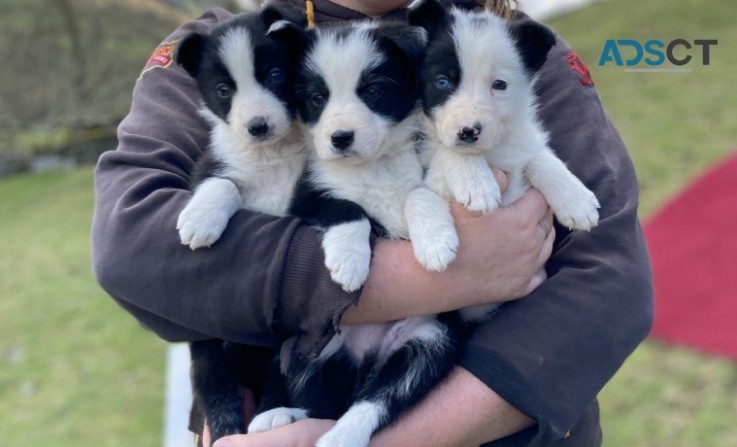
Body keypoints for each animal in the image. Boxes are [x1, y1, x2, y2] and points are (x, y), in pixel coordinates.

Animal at [176, 7, 308, 447]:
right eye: (222, 90)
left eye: (275, 74)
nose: (258, 126)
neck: (272, 153)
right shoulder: (212, 164)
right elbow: (222, 183)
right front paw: (200, 219)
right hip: (206, 347)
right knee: (215, 387)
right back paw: (227, 429)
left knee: (278, 372)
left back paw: (274, 415)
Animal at [250, 21, 462, 447]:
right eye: (317, 98)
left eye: (374, 91)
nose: (340, 138)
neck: (372, 165)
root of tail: (365, 355)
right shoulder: (307, 195)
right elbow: (348, 208)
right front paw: (348, 264)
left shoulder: (426, 170)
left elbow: (418, 194)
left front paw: (435, 242)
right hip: (313, 343)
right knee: (318, 398)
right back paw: (278, 415)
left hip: (429, 341)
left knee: (377, 398)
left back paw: (340, 436)